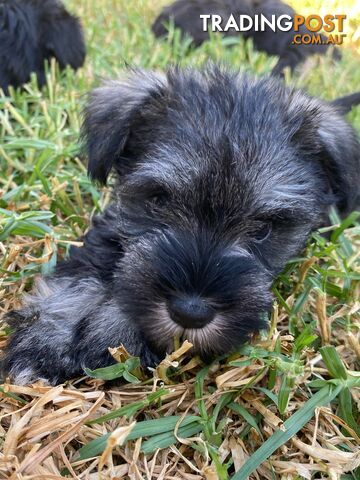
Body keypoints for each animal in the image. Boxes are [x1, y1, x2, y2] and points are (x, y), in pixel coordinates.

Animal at [1, 65, 358, 384]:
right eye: (159, 200)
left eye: (263, 229)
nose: (190, 312)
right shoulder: (106, 237)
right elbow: (74, 284)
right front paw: (43, 346)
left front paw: (111, 331)